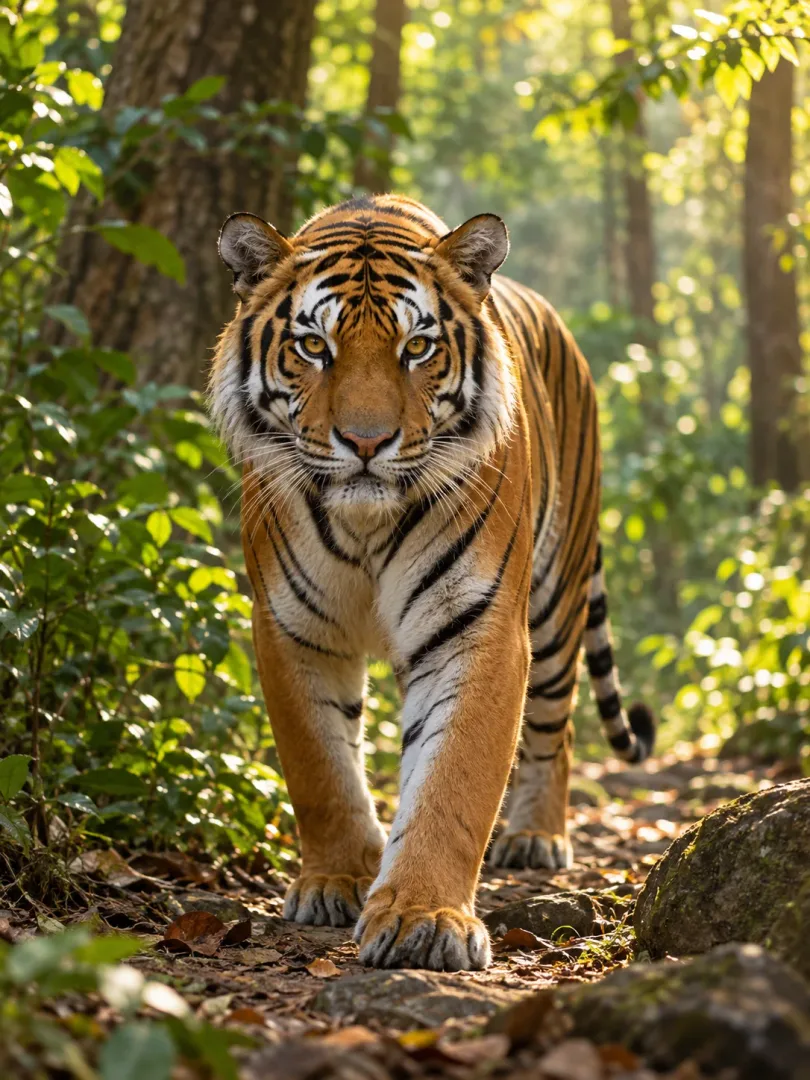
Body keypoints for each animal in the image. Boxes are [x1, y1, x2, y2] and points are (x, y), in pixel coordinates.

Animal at [209, 193, 654, 972]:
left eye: (417, 348)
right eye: (313, 347)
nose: (365, 442)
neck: (366, 524)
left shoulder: (477, 626)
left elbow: (454, 778)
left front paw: (424, 918)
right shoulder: (291, 626)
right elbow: (319, 768)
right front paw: (338, 881)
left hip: (558, 600)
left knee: (556, 725)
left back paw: (535, 837)